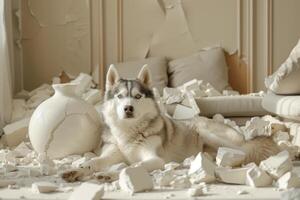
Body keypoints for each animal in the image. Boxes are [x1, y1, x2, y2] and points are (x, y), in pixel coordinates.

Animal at [62, 65, 280, 182]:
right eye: (120, 96)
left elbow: (130, 167)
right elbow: (93, 162)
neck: (129, 134)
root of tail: (244, 137)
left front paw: (110, 175)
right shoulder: (112, 153)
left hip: (206, 133)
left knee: (240, 154)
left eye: (137, 96)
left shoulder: (155, 159)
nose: (128, 108)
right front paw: (77, 170)